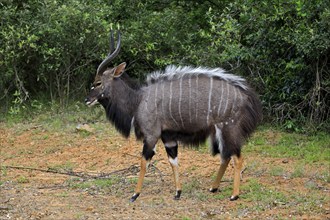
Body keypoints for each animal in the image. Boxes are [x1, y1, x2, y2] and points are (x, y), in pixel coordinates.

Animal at [85, 30, 262, 202]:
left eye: (98, 83)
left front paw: (135, 194)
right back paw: (213, 187)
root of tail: (247, 97)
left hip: (228, 128)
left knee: (237, 158)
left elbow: (143, 161)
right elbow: (173, 161)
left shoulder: (151, 135)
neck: (138, 100)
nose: (87, 99)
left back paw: (234, 195)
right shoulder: (168, 137)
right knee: (226, 157)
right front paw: (177, 192)